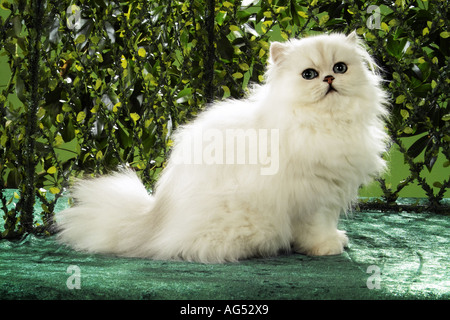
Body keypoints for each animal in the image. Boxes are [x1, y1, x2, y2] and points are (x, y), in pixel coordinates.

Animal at [56, 31, 388, 262]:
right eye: (309, 75)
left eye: (340, 67)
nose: (329, 78)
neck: (324, 122)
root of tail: (152, 224)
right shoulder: (315, 197)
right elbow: (317, 228)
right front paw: (327, 247)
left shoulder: (332, 190)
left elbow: (329, 223)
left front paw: (337, 238)